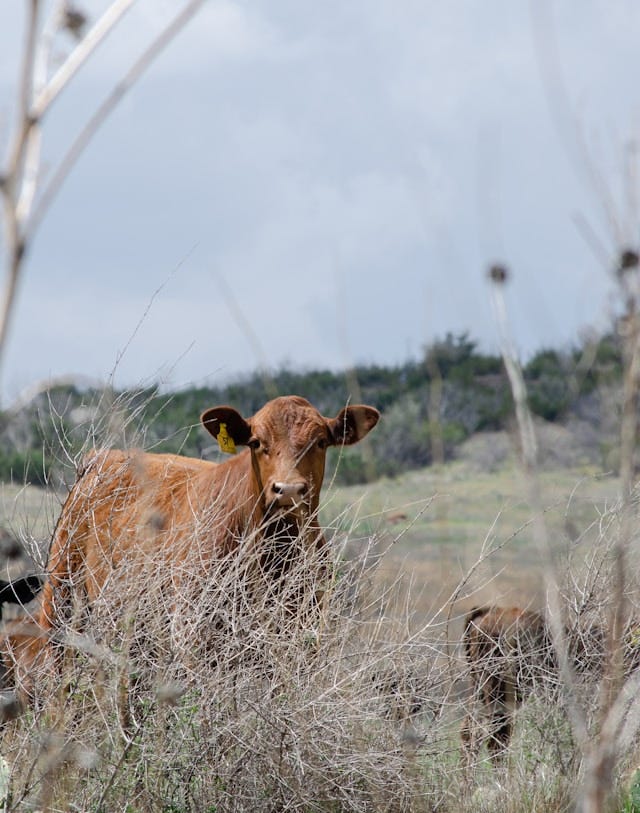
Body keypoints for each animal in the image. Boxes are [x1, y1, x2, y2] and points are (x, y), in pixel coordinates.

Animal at [37, 396, 380, 699]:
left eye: (320, 442)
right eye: (256, 442)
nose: (289, 490)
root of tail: (103, 456)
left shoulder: (302, 637)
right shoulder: (194, 636)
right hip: (61, 603)